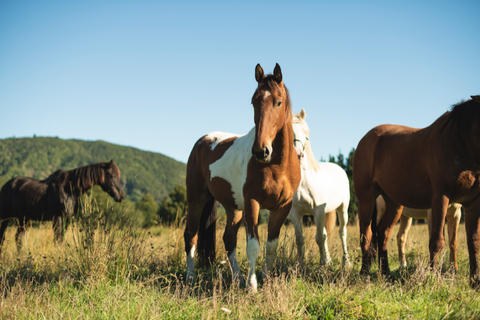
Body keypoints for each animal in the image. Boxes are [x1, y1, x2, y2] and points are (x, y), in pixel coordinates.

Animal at [184, 63, 300, 292]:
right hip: (196, 201)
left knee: (228, 238)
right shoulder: (252, 203)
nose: (261, 151)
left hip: (233, 208)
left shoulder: (282, 207)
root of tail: (202, 142)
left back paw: (236, 278)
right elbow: (253, 246)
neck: (277, 165)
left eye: (278, 102)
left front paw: (266, 280)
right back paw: (191, 278)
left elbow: (271, 246)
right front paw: (252, 286)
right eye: (254, 101)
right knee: (191, 236)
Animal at [286, 110, 350, 268]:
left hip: (343, 209)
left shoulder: (318, 211)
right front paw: (301, 265)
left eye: (305, 132)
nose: (298, 155)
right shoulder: (296, 214)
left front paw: (323, 264)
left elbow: (320, 237)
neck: (303, 183)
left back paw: (346, 261)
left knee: (342, 233)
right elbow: (300, 239)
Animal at [352, 95, 480, 288]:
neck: (459, 143)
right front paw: (432, 277)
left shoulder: (472, 203)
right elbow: (437, 240)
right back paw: (365, 274)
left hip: (394, 204)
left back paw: (386, 274)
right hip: (366, 199)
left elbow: (472, 241)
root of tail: (365, 139)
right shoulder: (440, 198)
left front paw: (475, 281)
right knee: (366, 234)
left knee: (383, 233)